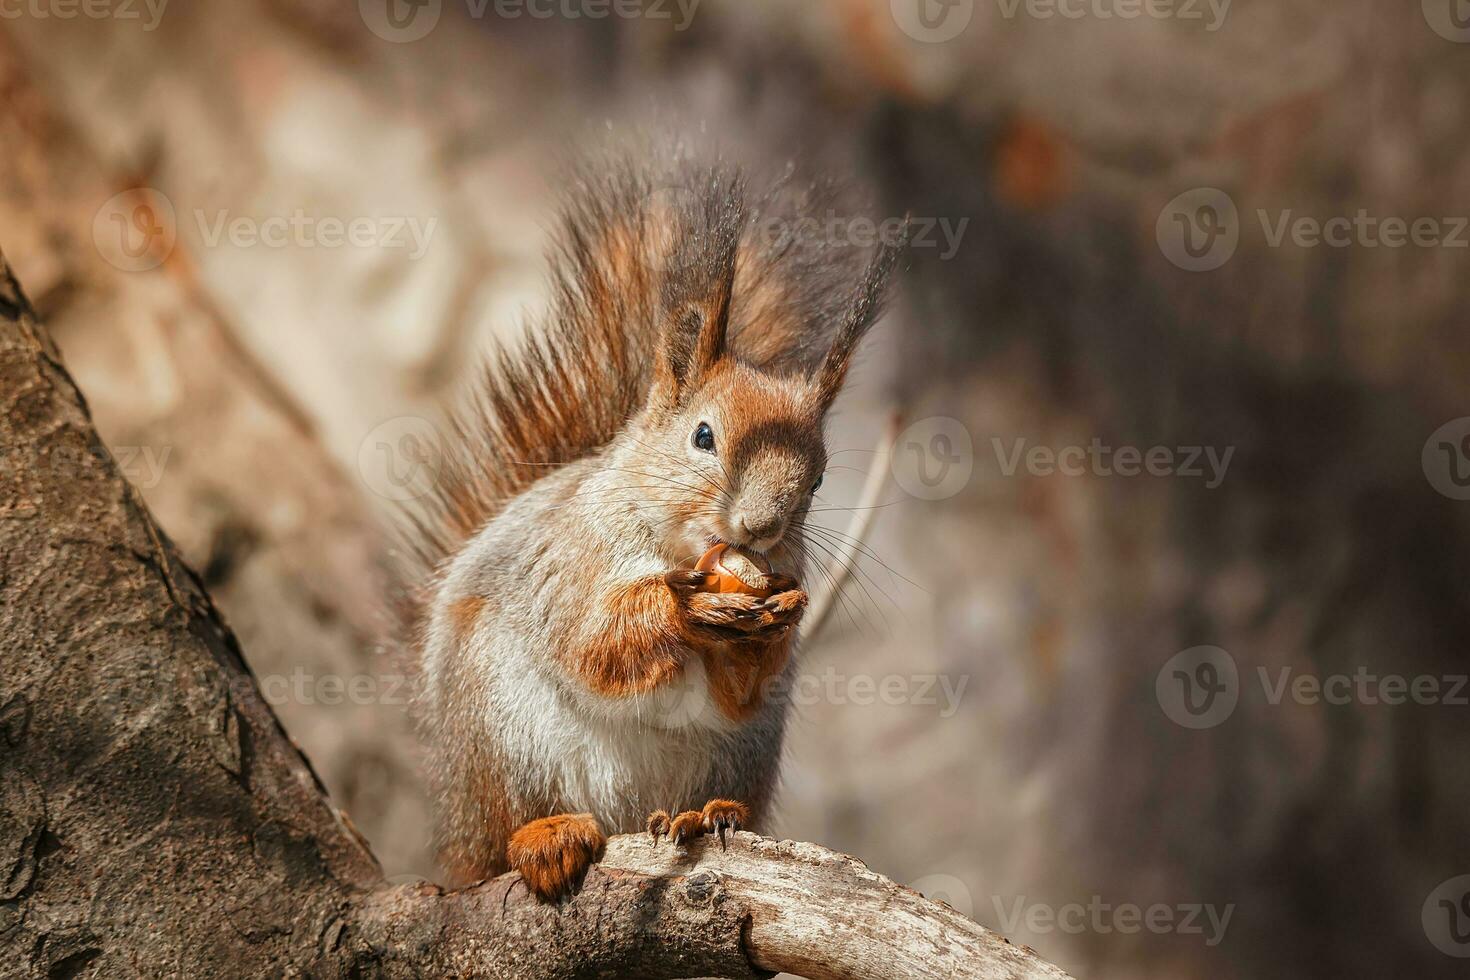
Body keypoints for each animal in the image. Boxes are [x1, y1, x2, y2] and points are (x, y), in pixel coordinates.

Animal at [408, 149, 899, 899]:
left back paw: (707, 813)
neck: (678, 546)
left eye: (817, 477)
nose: (759, 526)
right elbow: (591, 642)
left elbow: (741, 688)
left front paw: (777, 616)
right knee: (506, 832)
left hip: (742, 751)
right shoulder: (571, 560)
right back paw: (546, 836)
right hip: (498, 727)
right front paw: (685, 609)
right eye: (703, 436)